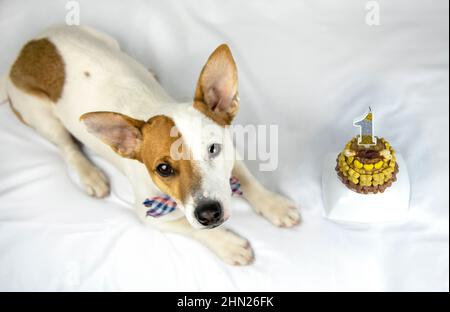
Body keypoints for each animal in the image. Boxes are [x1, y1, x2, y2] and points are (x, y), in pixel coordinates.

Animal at [2, 25, 302, 266]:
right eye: (163, 169)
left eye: (213, 149)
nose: (209, 213)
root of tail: (26, 50)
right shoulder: (150, 216)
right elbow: (193, 228)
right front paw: (228, 244)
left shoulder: (231, 151)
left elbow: (247, 179)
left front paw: (274, 205)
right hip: (39, 114)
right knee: (66, 146)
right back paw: (90, 175)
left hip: (104, 38)